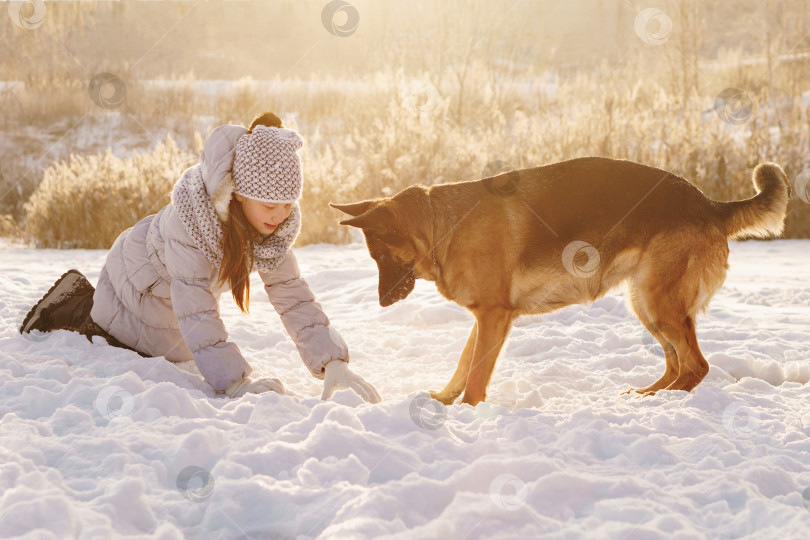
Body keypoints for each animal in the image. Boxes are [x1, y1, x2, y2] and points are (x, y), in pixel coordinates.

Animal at [330, 157, 788, 404]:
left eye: (382, 258)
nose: (381, 303)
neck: (443, 226)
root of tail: (709, 204)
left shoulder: (494, 317)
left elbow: (476, 374)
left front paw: (468, 411)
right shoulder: (486, 319)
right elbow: (463, 362)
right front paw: (445, 399)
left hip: (659, 303)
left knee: (696, 365)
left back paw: (662, 402)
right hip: (645, 304)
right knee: (677, 361)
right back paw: (645, 395)